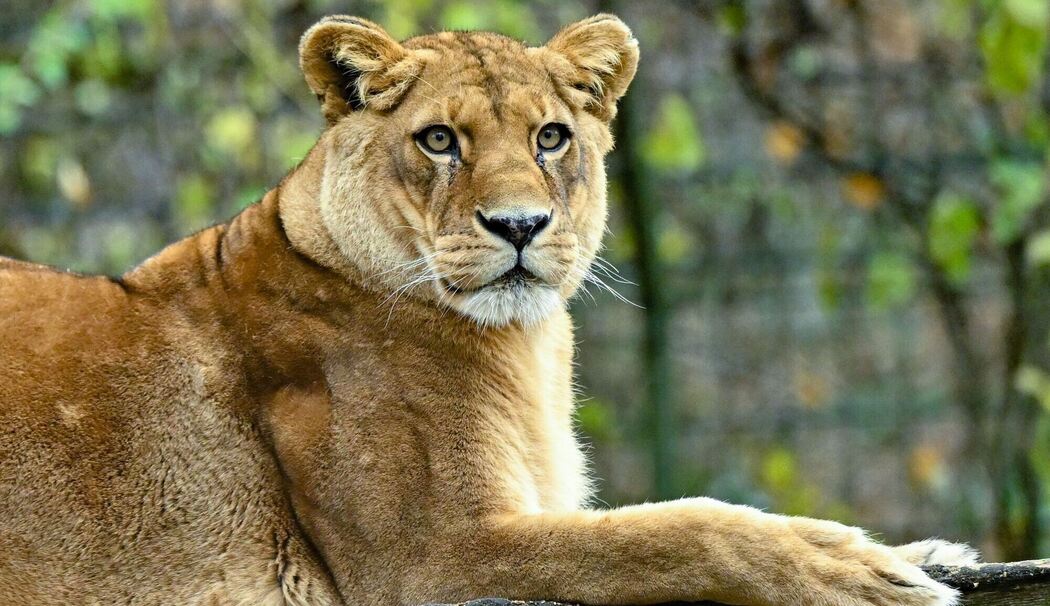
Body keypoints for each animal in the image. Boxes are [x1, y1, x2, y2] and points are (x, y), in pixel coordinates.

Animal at [0, 14, 977, 606]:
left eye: (551, 138)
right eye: (439, 140)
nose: (518, 225)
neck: (526, 344)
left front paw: (925, 554)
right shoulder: (430, 555)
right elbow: (670, 531)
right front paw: (851, 566)